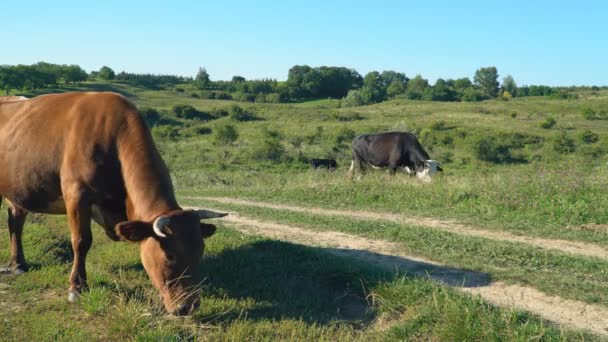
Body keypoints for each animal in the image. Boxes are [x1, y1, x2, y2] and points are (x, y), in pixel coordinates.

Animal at [0, 91, 227, 316]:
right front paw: (76, 287)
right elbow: (81, 241)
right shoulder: (76, 194)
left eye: (200, 251)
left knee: (15, 222)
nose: (188, 306)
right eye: (169, 255)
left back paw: (18, 264)